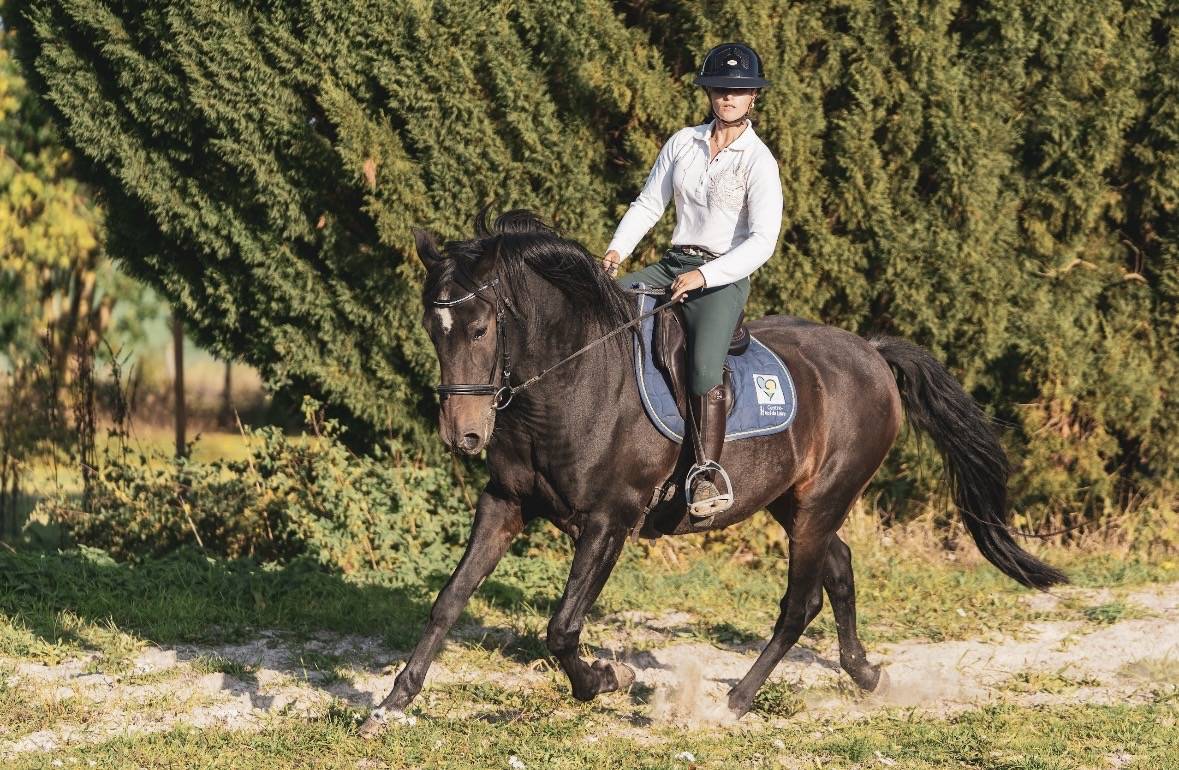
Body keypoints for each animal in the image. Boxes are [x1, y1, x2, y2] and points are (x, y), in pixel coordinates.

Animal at [358, 209, 1066, 736]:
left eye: (480, 327)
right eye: (433, 328)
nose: (464, 436)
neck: (571, 384)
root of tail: (870, 351)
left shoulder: (610, 519)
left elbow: (561, 628)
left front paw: (607, 680)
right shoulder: (505, 503)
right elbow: (449, 600)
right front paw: (393, 702)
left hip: (822, 500)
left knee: (800, 602)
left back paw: (736, 701)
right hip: (795, 501)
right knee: (838, 571)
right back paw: (866, 675)